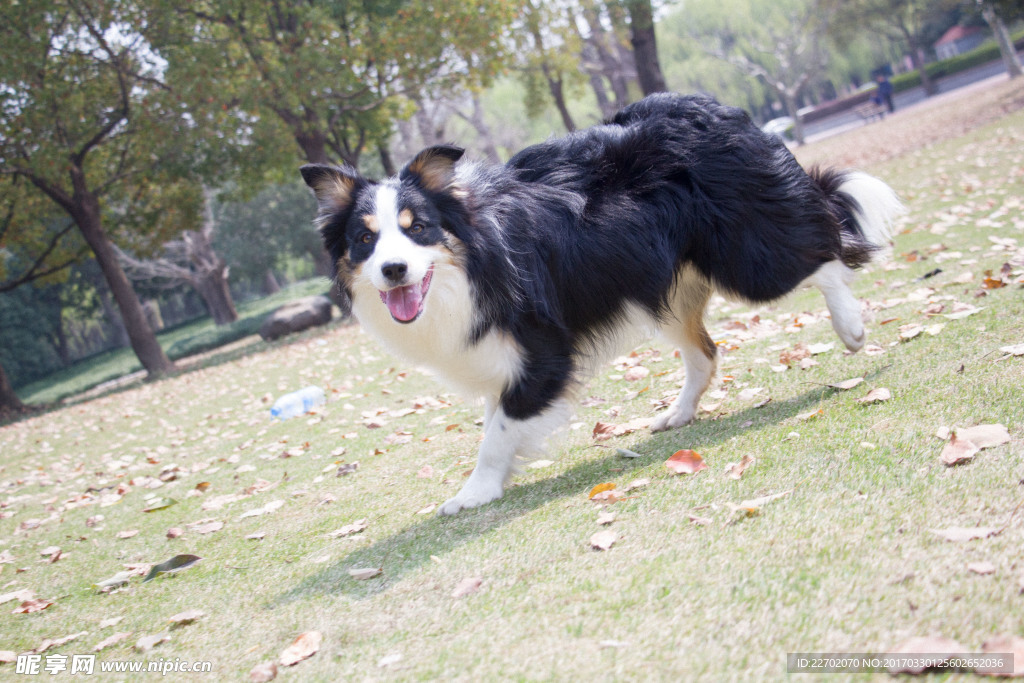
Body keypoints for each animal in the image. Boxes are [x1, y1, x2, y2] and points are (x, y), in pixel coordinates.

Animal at [299, 93, 901, 516]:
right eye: (365, 239)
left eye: (417, 227)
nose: (393, 270)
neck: (473, 255)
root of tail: (717, 108)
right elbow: (497, 416)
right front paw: (492, 481)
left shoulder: (543, 345)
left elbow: (499, 429)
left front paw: (475, 491)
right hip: (656, 286)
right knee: (705, 351)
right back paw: (678, 413)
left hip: (745, 251)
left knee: (822, 254)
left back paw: (850, 327)